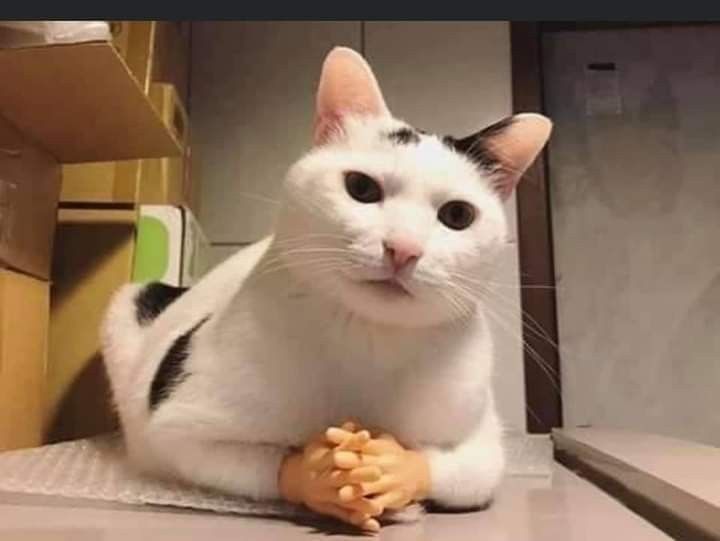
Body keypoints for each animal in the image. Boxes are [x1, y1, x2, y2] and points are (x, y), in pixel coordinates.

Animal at [101, 48, 552, 516]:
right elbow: (262, 460)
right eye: (361, 188)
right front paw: (315, 472)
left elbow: (462, 471)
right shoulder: (180, 425)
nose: (403, 249)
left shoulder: (483, 444)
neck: (367, 339)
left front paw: (397, 468)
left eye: (458, 215)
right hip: (131, 301)